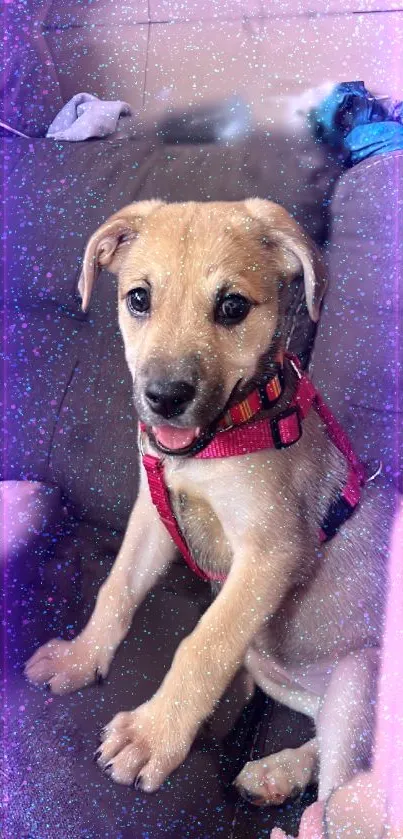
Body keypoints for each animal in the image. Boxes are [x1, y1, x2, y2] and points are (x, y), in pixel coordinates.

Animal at [24, 200, 392, 812]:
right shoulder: (153, 515)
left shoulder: (272, 551)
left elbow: (205, 644)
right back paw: (276, 770)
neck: (219, 442)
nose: (164, 398)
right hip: (287, 678)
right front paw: (81, 658)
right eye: (138, 298)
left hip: (358, 680)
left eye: (232, 306)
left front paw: (154, 736)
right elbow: (116, 589)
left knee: (341, 797)